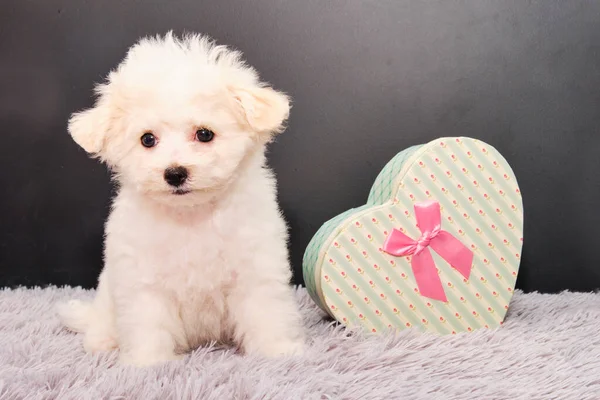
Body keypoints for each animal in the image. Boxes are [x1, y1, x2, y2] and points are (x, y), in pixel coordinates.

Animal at [57, 32, 304, 368]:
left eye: (204, 134)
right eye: (148, 139)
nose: (174, 173)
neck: (191, 215)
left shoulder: (255, 267)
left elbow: (265, 312)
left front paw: (277, 352)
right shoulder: (143, 281)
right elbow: (149, 323)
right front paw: (148, 363)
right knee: (100, 325)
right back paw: (103, 342)